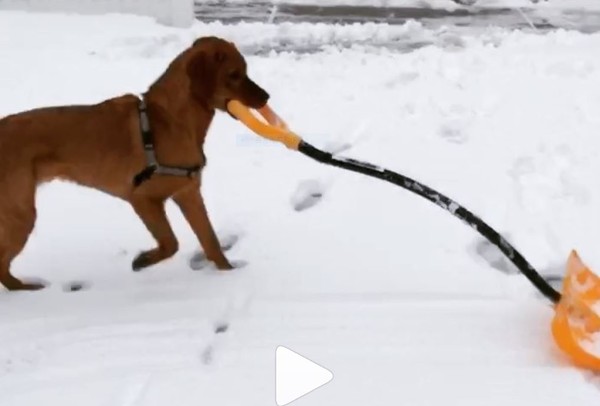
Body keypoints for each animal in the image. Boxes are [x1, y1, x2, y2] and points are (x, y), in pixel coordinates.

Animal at [0, 36, 268, 290]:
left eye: (245, 70)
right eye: (234, 75)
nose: (267, 97)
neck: (171, 120)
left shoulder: (188, 193)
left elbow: (211, 241)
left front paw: (229, 275)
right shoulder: (142, 198)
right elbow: (171, 243)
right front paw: (143, 260)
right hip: (21, 214)